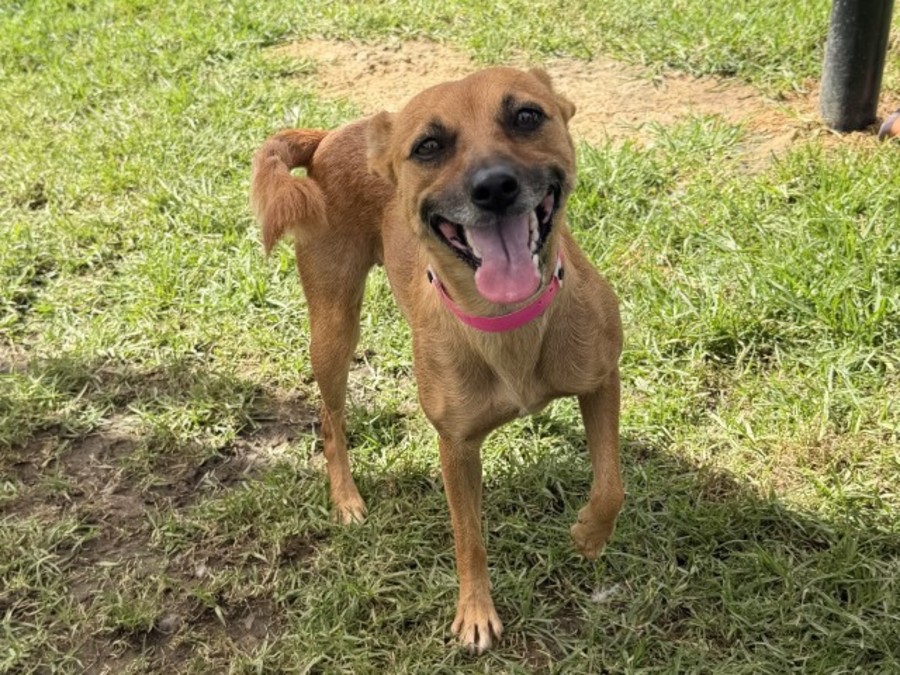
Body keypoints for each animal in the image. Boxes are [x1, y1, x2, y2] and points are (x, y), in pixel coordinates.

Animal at [251, 67, 623, 653]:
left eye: (527, 115)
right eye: (427, 146)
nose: (494, 187)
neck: (507, 321)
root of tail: (332, 135)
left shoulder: (602, 379)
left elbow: (611, 484)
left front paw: (589, 534)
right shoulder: (457, 447)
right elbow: (468, 537)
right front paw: (475, 613)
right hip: (333, 329)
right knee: (331, 421)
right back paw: (346, 499)